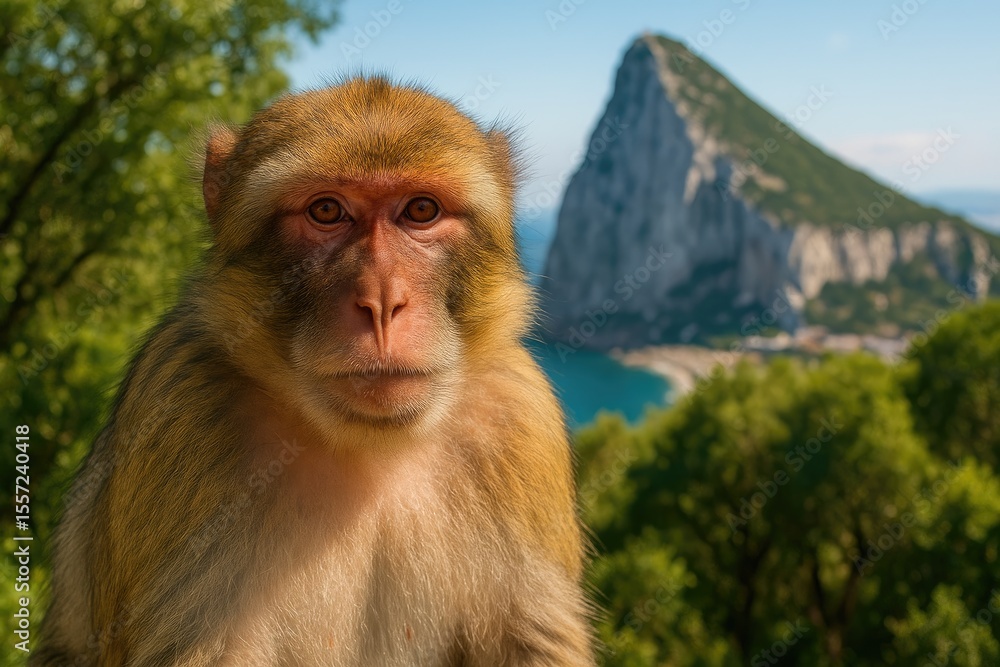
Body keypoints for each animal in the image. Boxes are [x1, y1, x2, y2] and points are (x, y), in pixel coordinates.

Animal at [32, 75, 596, 666]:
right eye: (327, 211)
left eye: (421, 210)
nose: (382, 301)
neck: (370, 451)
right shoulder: (181, 406)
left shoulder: (519, 417)